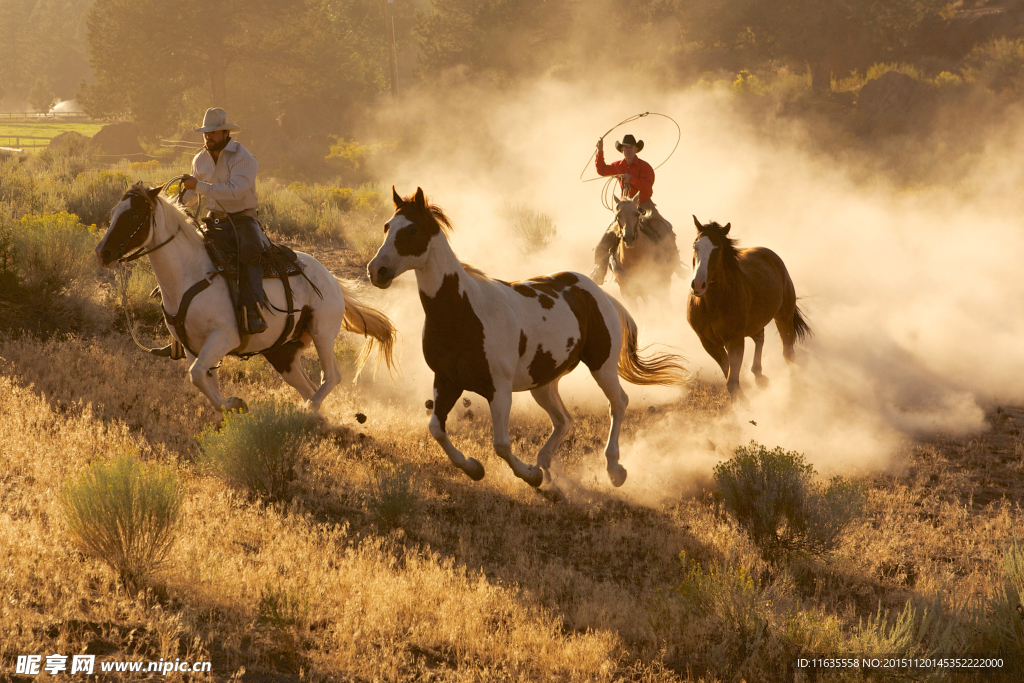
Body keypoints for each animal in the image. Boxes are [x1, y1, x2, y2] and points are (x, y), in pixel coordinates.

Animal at [368, 184, 688, 489]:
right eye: (387, 226)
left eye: (411, 229)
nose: (376, 271)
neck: (463, 310)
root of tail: (599, 294)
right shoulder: (446, 380)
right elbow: (436, 429)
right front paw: (474, 468)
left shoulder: (499, 389)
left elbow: (500, 444)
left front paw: (530, 476)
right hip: (544, 382)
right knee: (563, 420)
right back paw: (546, 465)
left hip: (602, 366)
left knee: (618, 403)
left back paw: (613, 469)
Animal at [684, 216, 811, 403]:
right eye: (695, 246)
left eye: (718, 249)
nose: (698, 285)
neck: (712, 304)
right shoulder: (709, 343)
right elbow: (729, 374)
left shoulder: (735, 341)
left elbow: (732, 382)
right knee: (760, 337)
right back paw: (759, 377)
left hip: (784, 316)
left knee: (788, 352)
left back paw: (793, 387)